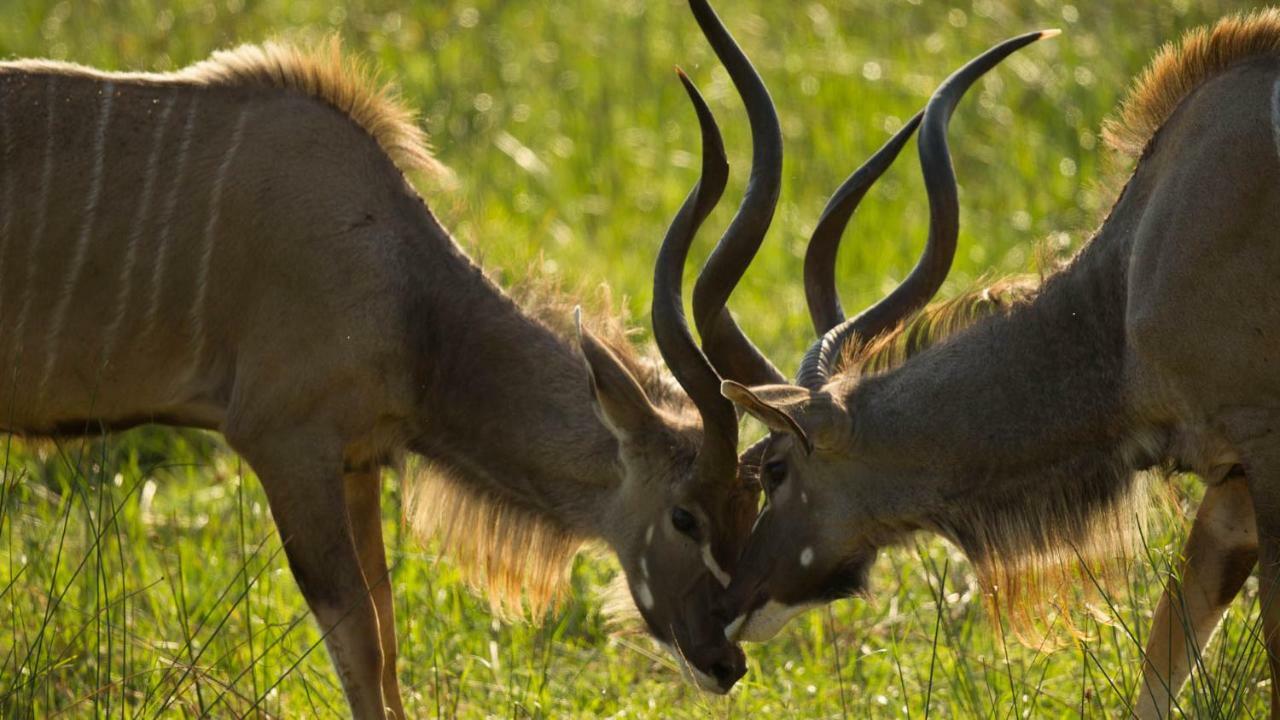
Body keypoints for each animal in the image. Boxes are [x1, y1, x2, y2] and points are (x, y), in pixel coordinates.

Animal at [0, 0, 778, 707]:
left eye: (752, 508)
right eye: (684, 516)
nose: (725, 662)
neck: (407, 294)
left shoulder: (355, 462)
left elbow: (387, 638)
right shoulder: (285, 447)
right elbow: (362, 645)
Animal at [716, 8, 1280, 712]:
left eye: (774, 469)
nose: (730, 607)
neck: (1122, 296)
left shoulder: (1263, 440)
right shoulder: (1233, 482)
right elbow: (1169, 646)